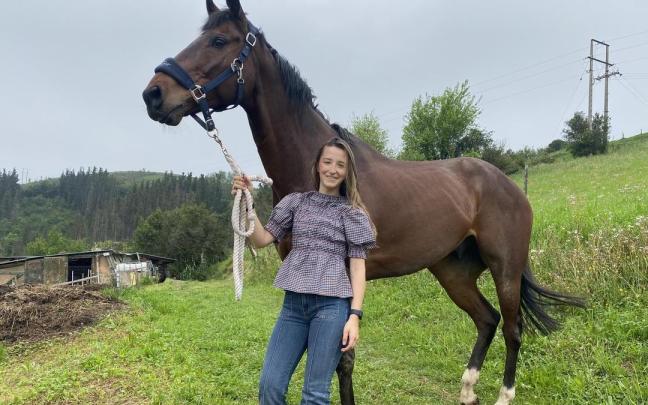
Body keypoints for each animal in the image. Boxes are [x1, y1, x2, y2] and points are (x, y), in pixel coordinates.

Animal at [142, 1, 584, 403]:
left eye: (218, 40)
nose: (153, 94)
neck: (316, 171)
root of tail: (506, 184)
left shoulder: (346, 282)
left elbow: (343, 360)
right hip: (452, 270)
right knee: (487, 320)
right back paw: (467, 391)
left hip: (504, 266)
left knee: (512, 327)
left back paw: (503, 395)